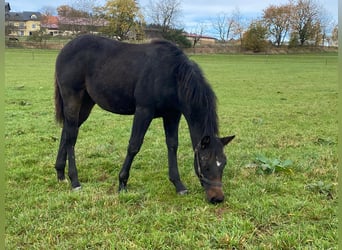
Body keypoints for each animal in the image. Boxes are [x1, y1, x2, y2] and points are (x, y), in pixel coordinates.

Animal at [54, 34, 235, 203]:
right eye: (204, 162)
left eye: (224, 162)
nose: (217, 198)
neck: (173, 75)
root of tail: (66, 48)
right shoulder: (144, 111)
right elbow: (134, 145)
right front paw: (122, 183)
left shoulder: (172, 115)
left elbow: (172, 145)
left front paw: (178, 185)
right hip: (73, 98)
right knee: (71, 136)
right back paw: (75, 181)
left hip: (86, 103)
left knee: (68, 130)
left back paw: (60, 174)